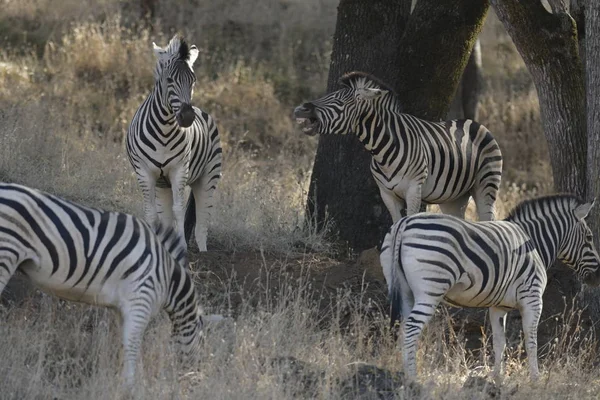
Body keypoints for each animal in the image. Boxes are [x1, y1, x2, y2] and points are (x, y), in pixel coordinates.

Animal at [0, 182, 213, 388]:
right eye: (202, 342)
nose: (198, 381)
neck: (168, 277)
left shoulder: (122, 308)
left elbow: (125, 344)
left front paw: (126, 381)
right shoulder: (140, 302)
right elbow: (133, 344)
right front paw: (131, 385)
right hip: (6, 253)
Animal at [126, 35, 223, 253]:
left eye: (193, 81)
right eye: (169, 80)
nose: (187, 117)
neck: (164, 129)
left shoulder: (179, 170)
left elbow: (178, 209)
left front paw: (181, 246)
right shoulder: (144, 172)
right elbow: (152, 213)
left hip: (209, 176)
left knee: (202, 220)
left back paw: (203, 252)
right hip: (163, 184)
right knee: (167, 215)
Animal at [292, 70, 504, 223]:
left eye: (338, 101)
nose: (300, 109)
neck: (382, 150)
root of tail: (475, 123)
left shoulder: (414, 189)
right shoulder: (387, 194)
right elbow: (395, 227)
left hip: (486, 184)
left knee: (489, 220)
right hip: (453, 197)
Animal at [380, 195, 600, 380]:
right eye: (589, 238)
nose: (597, 277)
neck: (533, 242)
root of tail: (404, 223)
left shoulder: (499, 306)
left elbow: (499, 342)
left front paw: (496, 378)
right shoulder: (533, 297)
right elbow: (531, 340)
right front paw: (535, 378)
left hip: (403, 288)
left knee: (402, 328)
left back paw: (404, 373)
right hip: (430, 290)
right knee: (411, 328)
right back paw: (412, 378)